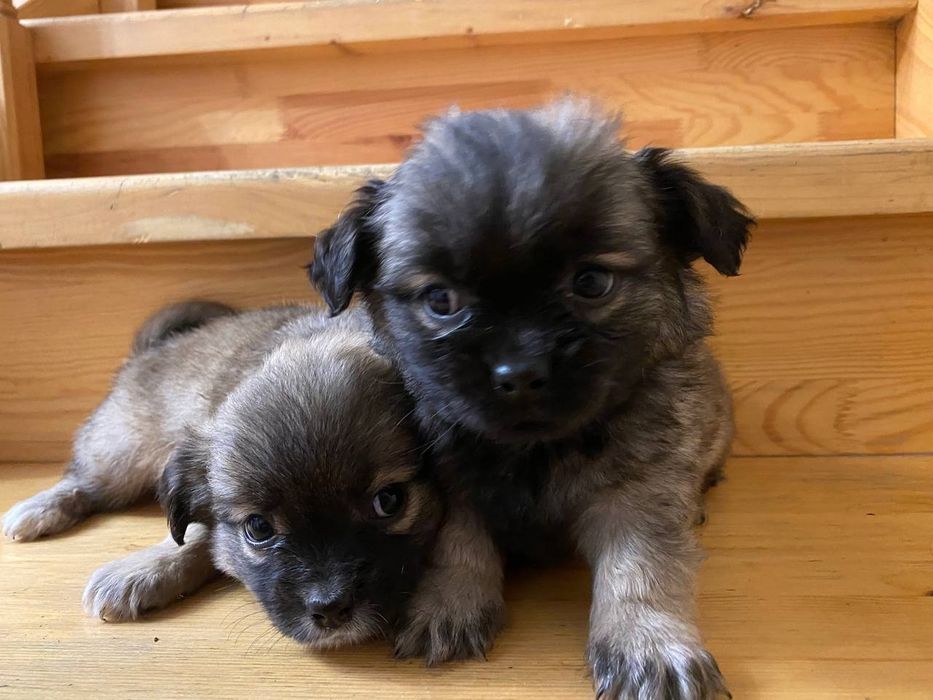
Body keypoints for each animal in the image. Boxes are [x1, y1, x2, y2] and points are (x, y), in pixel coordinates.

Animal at [3, 302, 441, 649]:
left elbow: (204, 540)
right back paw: (37, 510)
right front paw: (144, 570)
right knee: (83, 481)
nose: (331, 609)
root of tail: (148, 351)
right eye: (259, 528)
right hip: (122, 453)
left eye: (389, 502)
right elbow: (195, 536)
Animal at [310, 99, 753, 696]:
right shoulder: (451, 488)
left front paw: (650, 646)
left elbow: (642, 570)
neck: (537, 452)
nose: (518, 373)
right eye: (441, 300)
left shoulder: (640, 497)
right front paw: (449, 604)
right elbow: (458, 544)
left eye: (591, 283)